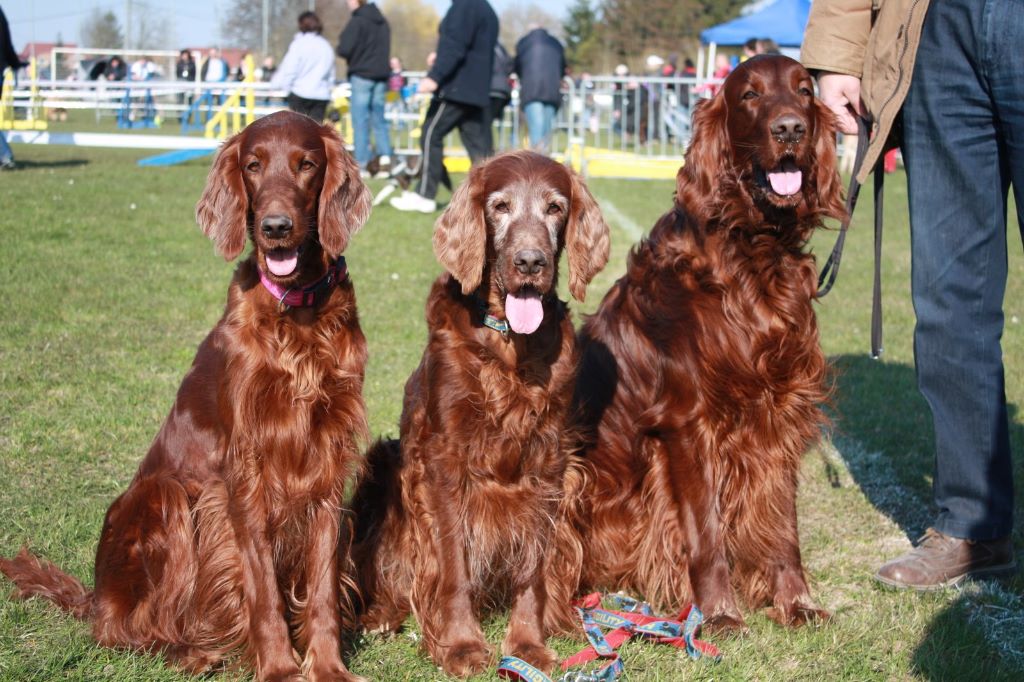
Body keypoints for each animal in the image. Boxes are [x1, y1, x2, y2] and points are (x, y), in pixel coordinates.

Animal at [0, 109, 376, 675]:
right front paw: (280, 668)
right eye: (253, 165)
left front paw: (329, 668)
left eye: (307, 164)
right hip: (166, 497)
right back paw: (188, 650)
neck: (296, 313)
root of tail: (96, 594)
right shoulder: (244, 470)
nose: (276, 228)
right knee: (118, 630)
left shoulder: (326, 458)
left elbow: (323, 585)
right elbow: (262, 587)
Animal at [352, 150, 606, 675]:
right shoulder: (444, 464)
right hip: (382, 463)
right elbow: (453, 565)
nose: (530, 261)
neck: (508, 342)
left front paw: (527, 645)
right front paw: (461, 645)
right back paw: (381, 613)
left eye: (555, 207)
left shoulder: (549, 468)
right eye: (500, 206)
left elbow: (534, 567)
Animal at [548, 55, 843, 630]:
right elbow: (706, 533)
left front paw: (796, 602)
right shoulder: (688, 421)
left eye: (804, 90)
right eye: (750, 94)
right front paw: (720, 615)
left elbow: (783, 525)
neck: (751, 255)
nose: (791, 128)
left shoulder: (779, 412)